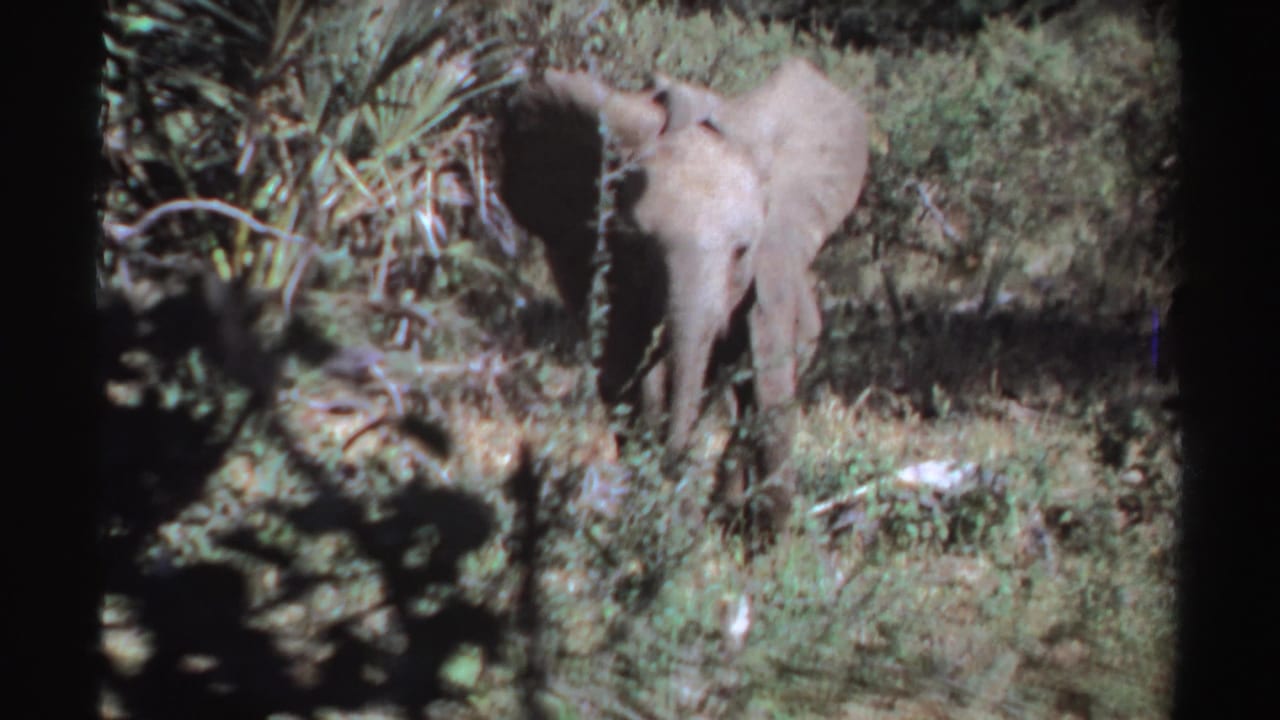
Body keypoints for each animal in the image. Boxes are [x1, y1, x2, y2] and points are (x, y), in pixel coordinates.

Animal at [499, 58, 869, 536]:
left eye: (742, 250)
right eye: (639, 248)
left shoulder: (775, 259)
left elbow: (767, 370)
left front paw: (767, 541)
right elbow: (637, 375)